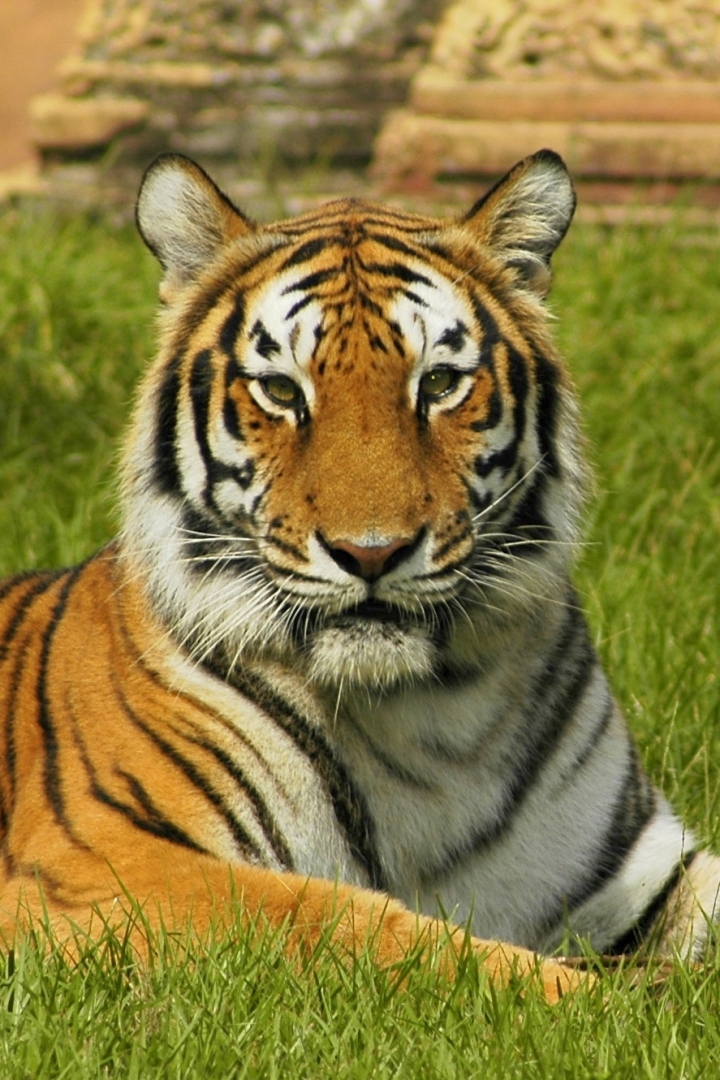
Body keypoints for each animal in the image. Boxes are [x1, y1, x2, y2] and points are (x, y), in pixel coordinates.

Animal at [0, 145, 716, 1002]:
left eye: (439, 383)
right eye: (282, 390)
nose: (372, 552)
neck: (434, 724)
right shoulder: (97, 863)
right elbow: (359, 924)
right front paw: (604, 1002)